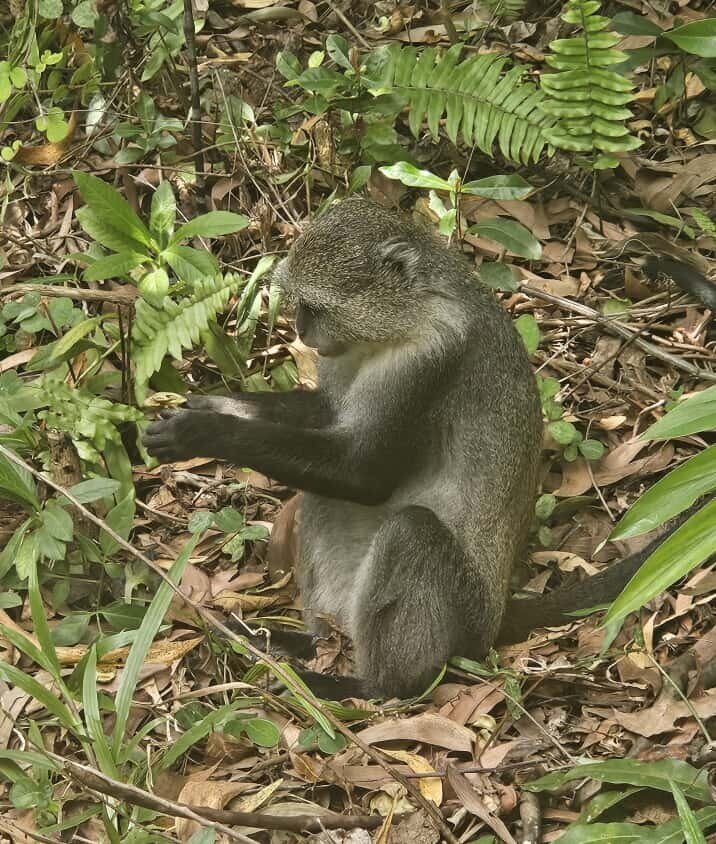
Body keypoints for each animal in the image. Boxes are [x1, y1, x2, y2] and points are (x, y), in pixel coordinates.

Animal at [143, 197, 702, 700]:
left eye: (316, 306)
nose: (301, 328)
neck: (404, 318)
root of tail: (497, 611)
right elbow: (329, 417)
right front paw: (218, 403)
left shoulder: (429, 358)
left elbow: (363, 474)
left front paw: (203, 431)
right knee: (323, 500)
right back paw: (310, 643)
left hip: (463, 613)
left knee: (411, 531)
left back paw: (367, 685)